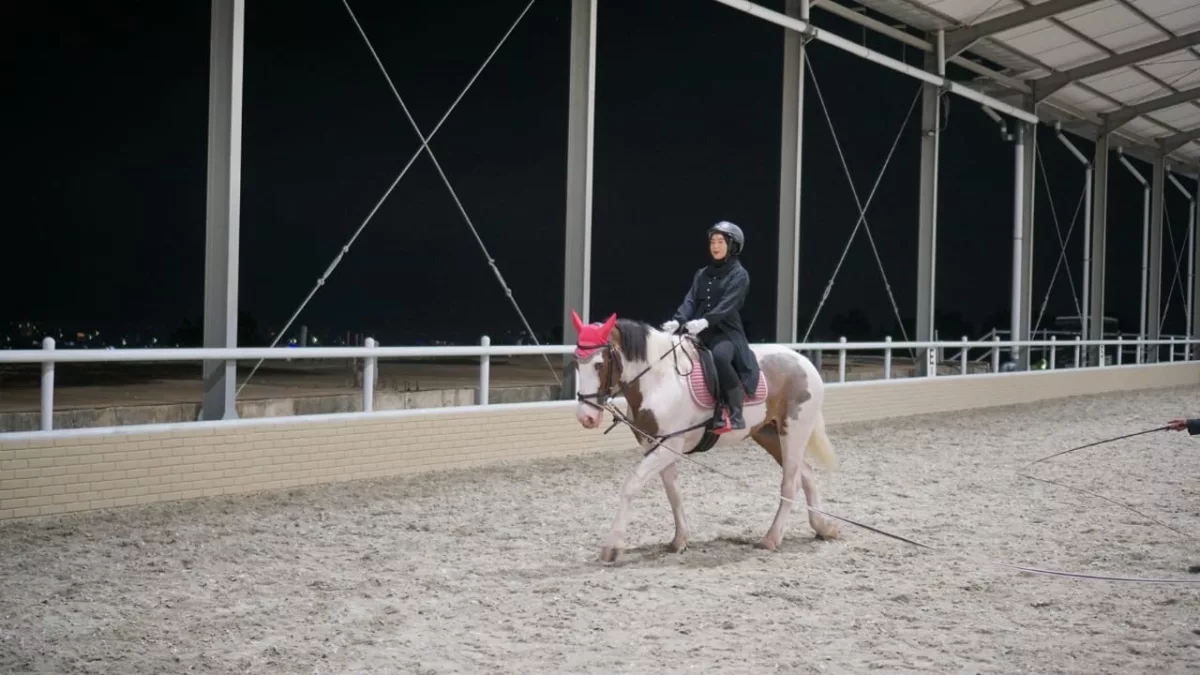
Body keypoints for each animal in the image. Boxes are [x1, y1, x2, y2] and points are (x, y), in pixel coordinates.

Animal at [568, 309, 835, 562]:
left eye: (599, 364)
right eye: (576, 363)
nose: (586, 418)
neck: (659, 380)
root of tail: (803, 361)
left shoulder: (668, 446)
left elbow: (631, 485)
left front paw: (611, 547)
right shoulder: (656, 446)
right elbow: (673, 493)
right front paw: (679, 540)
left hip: (794, 430)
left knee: (790, 483)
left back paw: (771, 538)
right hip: (768, 433)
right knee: (806, 473)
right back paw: (823, 528)